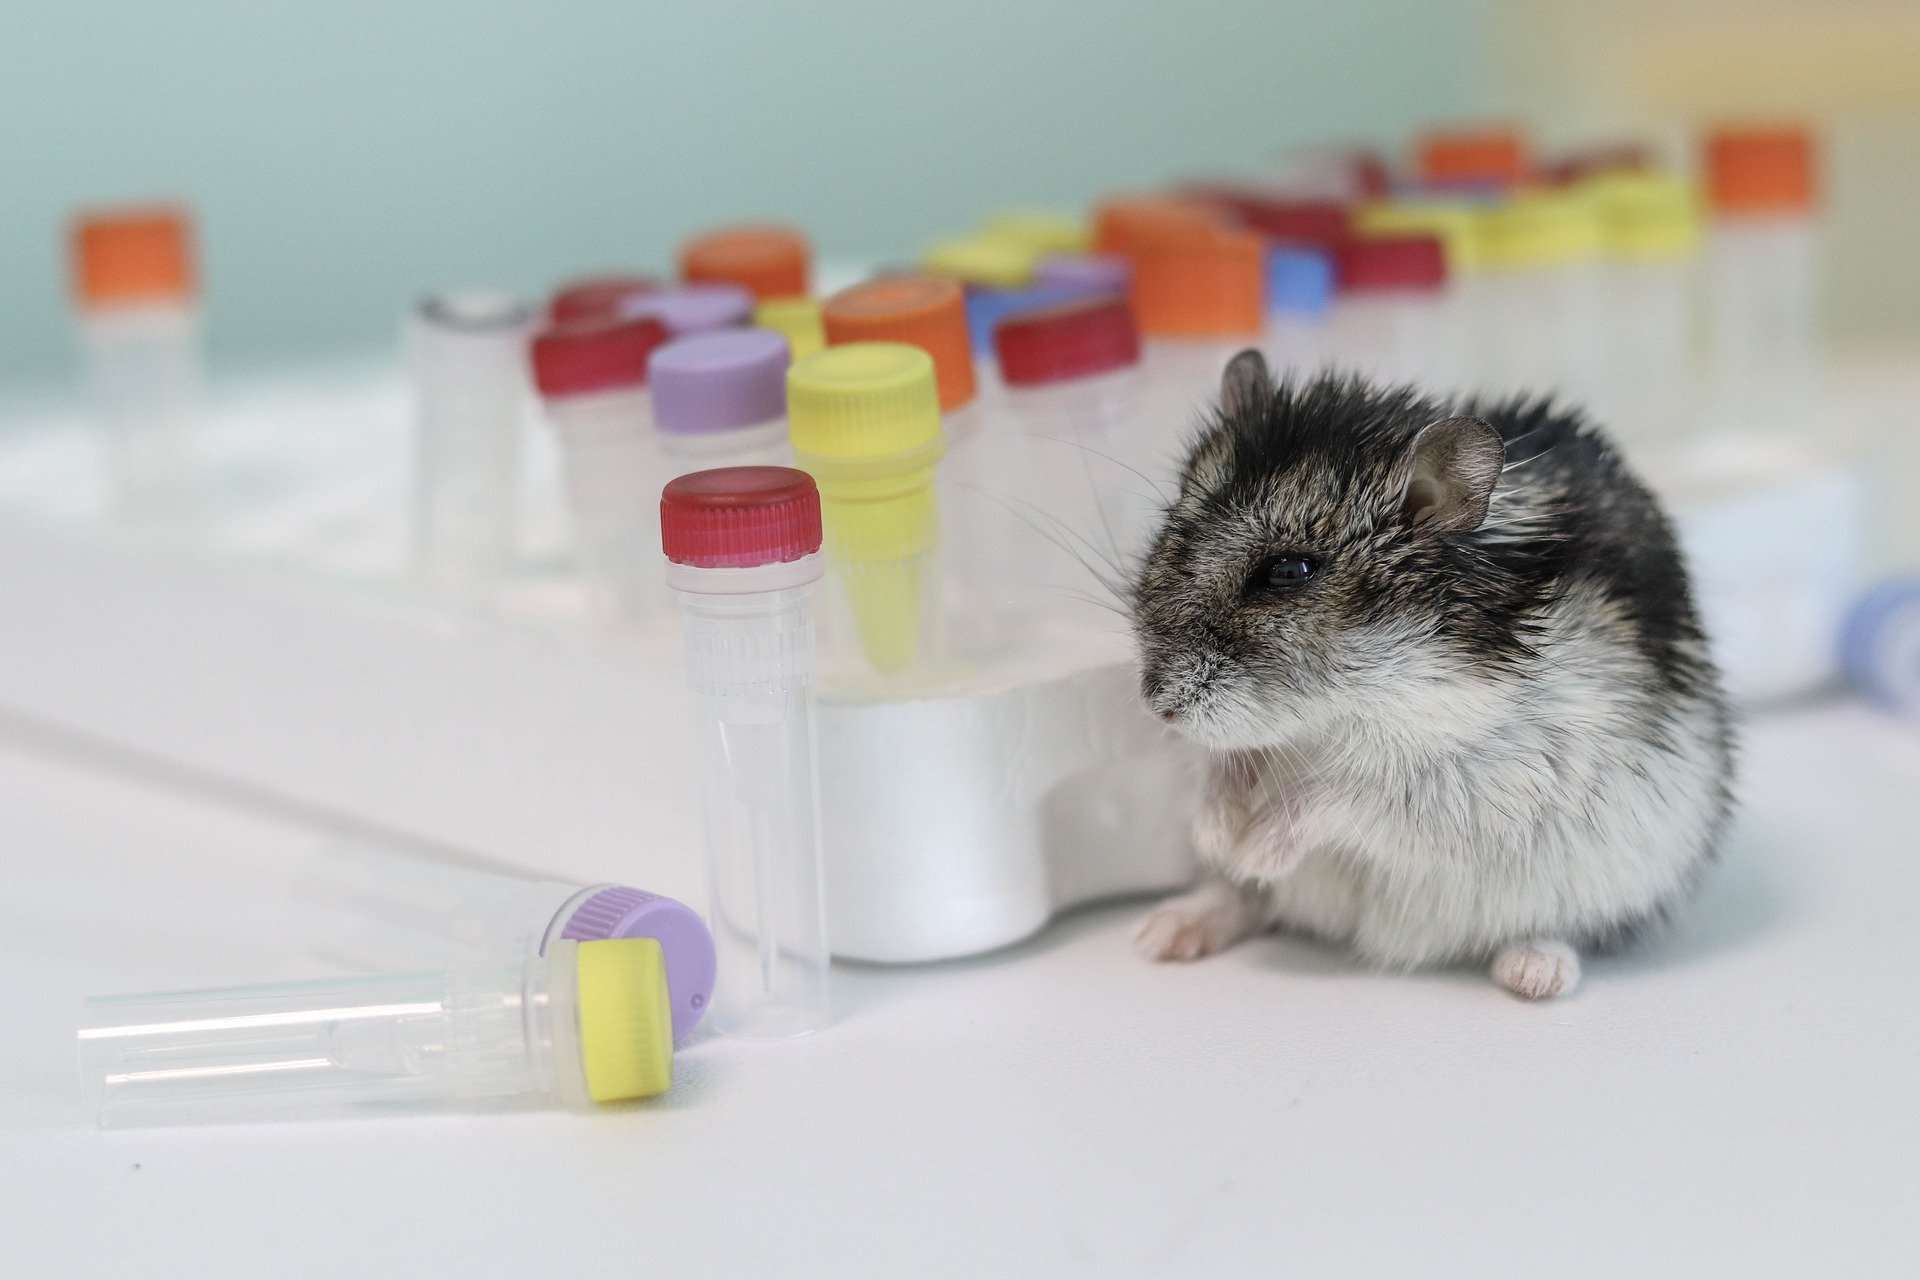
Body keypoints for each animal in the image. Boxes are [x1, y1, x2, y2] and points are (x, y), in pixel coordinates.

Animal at [1129, 353, 1734, 999]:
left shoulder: (1484, 776)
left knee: (1570, 928)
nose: (1158, 707)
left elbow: (1343, 794)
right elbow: (1220, 762)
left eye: (1289, 571)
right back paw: (1163, 931)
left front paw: (1255, 848)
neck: (1340, 710)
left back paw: (1533, 973)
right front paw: (1217, 835)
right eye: (1173, 526)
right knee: (1249, 904)